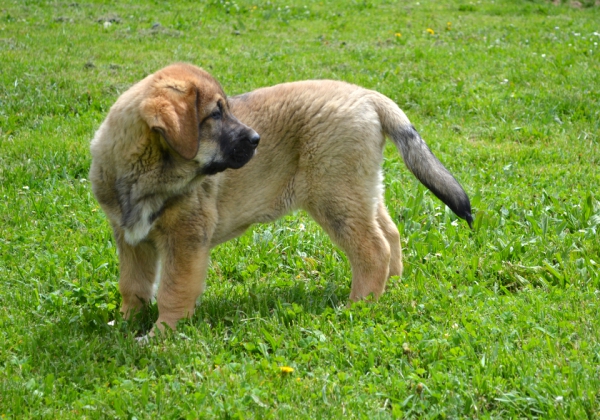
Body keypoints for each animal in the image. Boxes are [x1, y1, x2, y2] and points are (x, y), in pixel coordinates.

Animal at [90, 62, 474, 334]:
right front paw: (125, 324)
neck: (145, 173)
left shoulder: (185, 239)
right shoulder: (130, 239)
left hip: (335, 197)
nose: (256, 139)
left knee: (373, 248)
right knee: (390, 233)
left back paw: (359, 306)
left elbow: (173, 290)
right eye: (216, 114)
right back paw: (389, 287)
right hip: (360, 189)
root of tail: (367, 95)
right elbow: (133, 286)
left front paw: (162, 335)